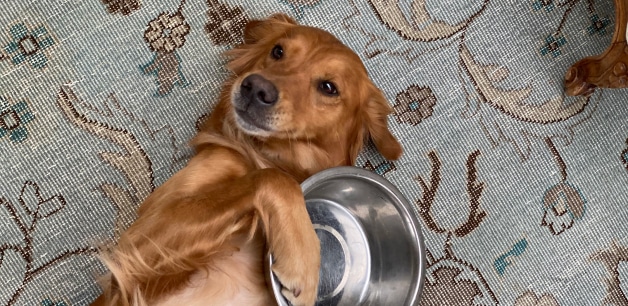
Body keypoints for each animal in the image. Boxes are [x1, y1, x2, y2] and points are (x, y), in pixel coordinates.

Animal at [91, 13, 400, 306]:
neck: (268, 156)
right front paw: (303, 257)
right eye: (278, 51)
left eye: (328, 87)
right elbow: (275, 179)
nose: (255, 87)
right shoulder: (140, 241)